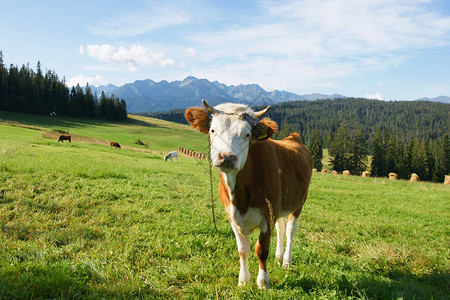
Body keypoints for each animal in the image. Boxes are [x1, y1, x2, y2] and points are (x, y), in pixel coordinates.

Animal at [185, 101, 312, 290]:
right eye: (212, 130)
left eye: (247, 134)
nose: (227, 157)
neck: (239, 198)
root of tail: (293, 137)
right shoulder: (232, 216)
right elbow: (243, 250)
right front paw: (243, 280)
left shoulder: (267, 215)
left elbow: (262, 250)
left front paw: (263, 282)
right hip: (280, 205)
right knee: (281, 227)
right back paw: (279, 256)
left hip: (298, 204)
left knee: (290, 230)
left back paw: (286, 261)